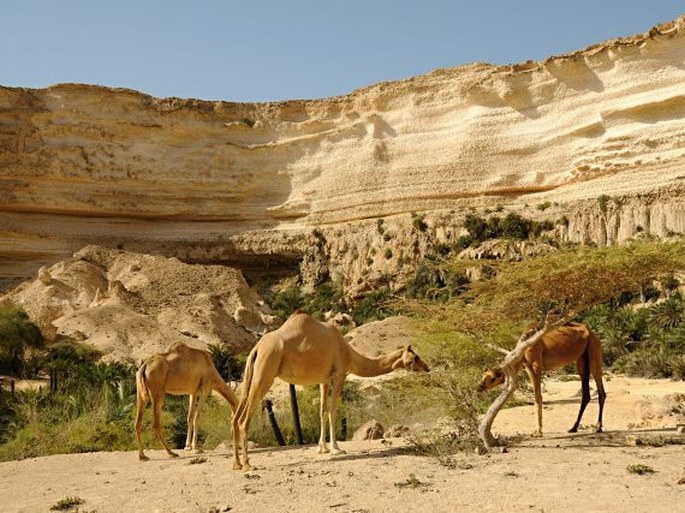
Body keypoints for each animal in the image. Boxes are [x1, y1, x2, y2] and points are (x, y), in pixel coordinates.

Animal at [232, 310, 430, 470]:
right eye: (415, 357)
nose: (427, 368)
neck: (349, 353)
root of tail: (257, 348)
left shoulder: (324, 379)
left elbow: (322, 410)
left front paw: (322, 448)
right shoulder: (340, 374)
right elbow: (334, 410)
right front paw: (336, 449)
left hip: (252, 372)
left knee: (235, 416)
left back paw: (237, 464)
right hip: (266, 369)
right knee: (243, 418)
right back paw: (248, 465)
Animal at [478, 322, 608, 434]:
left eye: (493, 378)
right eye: (483, 375)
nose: (480, 386)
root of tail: (591, 332)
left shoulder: (536, 365)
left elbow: (538, 397)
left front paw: (538, 431)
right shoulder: (528, 367)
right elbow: (537, 397)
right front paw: (538, 429)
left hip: (594, 349)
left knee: (600, 388)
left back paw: (598, 427)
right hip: (581, 358)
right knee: (586, 393)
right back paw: (573, 427)